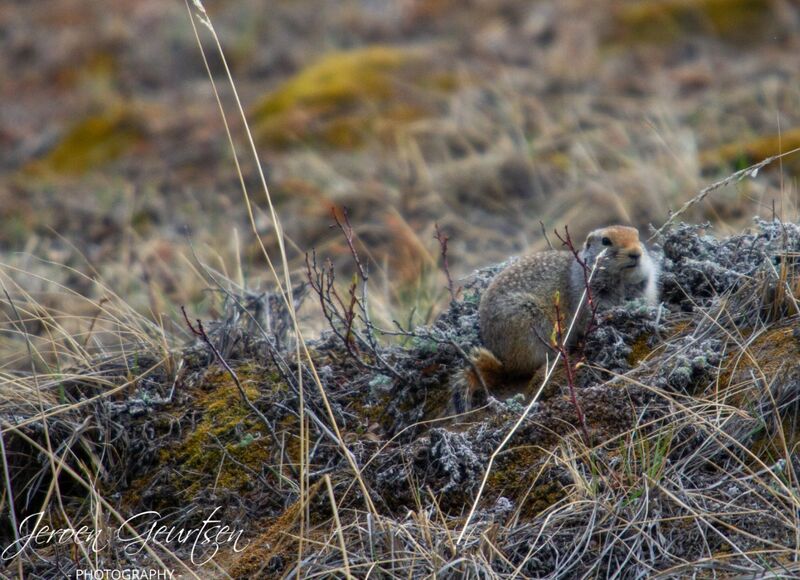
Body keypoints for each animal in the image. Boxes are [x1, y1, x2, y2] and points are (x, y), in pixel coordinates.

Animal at [469, 225, 660, 390]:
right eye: (606, 241)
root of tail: (503, 363)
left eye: (637, 237)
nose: (636, 253)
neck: (620, 280)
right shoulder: (589, 299)